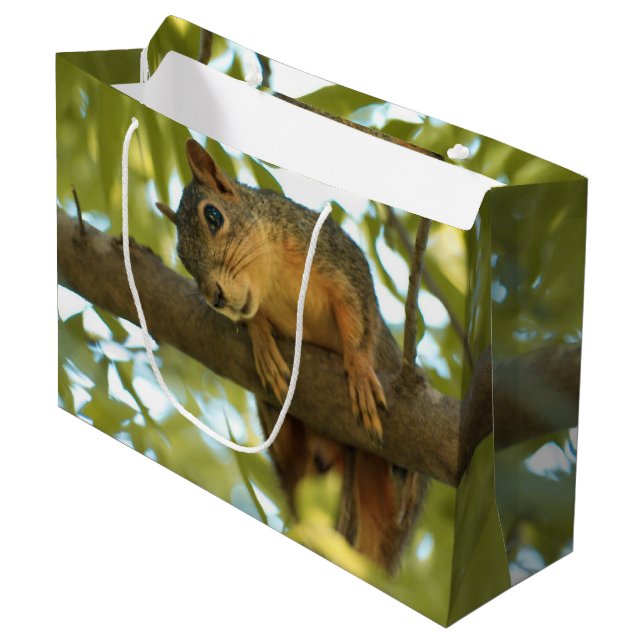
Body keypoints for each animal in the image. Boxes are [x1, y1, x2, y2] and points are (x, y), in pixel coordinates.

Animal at [156, 139, 427, 573]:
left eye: (213, 216)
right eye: (181, 257)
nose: (215, 298)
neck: (272, 279)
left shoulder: (341, 260)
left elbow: (358, 315)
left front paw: (358, 367)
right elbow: (254, 317)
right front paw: (261, 338)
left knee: (395, 503)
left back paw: (404, 473)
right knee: (290, 452)